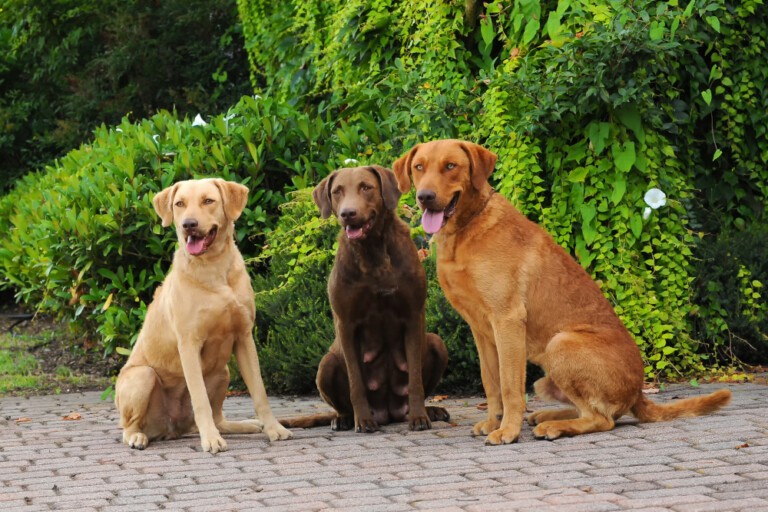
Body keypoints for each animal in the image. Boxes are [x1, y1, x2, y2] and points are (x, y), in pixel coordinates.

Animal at [115, 177, 292, 452]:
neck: (213, 268)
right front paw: (210, 440)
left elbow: (260, 392)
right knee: (128, 426)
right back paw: (137, 437)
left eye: (208, 200)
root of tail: (172, 430)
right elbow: (200, 400)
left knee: (219, 416)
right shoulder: (189, 344)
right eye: (179, 203)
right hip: (142, 377)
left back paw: (245, 425)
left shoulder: (244, 337)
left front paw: (274, 428)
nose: (188, 224)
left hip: (223, 371)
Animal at [282, 166, 450, 430]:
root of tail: (389, 412)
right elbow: (356, 382)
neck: (373, 251)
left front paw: (419, 417)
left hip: (436, 343)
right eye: (337, 191)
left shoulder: (413, 315)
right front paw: (363, 421)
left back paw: (429, 411)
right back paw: (344, 419)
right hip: (326, 364)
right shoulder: (346, 323)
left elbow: (415, 379)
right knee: (341, 402)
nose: (347, 213)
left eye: (366, 187)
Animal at [396, 139, 732, 444]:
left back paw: (553, 427)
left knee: (602, 419)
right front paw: (494, 422)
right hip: (546, 379)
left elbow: (509, 386)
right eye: (419, 167)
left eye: (451, 166)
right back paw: (546, 416)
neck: (466, 230)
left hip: (561, 344)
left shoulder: (507, 320)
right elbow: (491, 382)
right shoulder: (481, 330)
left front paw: (508, 431)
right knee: (595, 411)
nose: (424, 197)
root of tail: (638, 392)